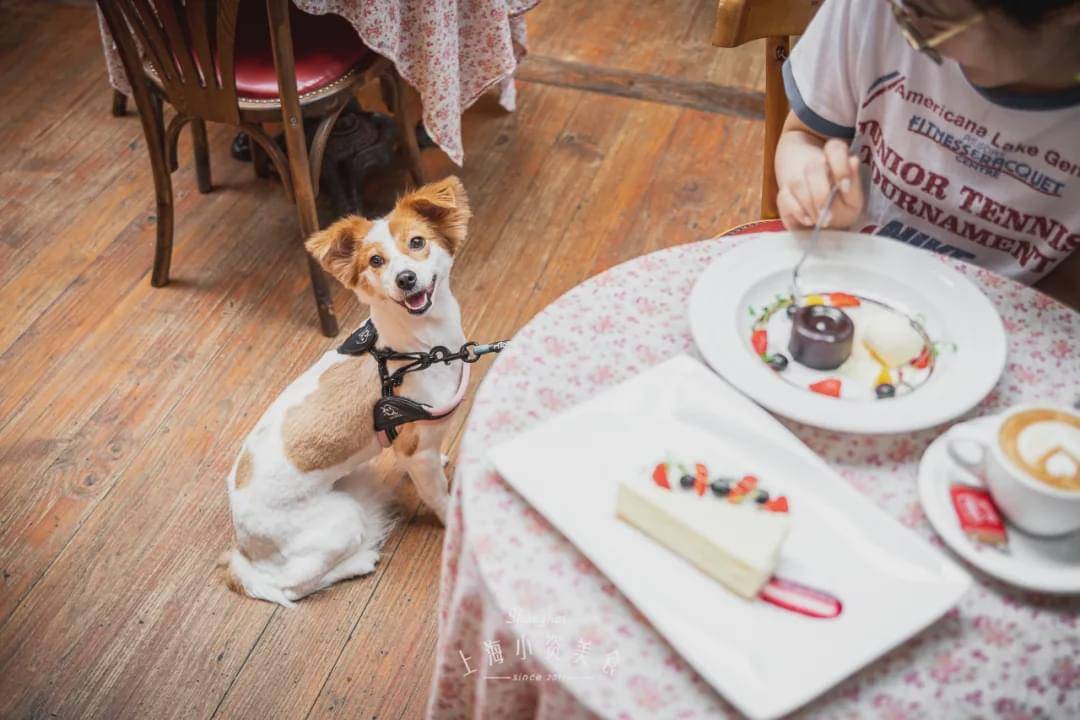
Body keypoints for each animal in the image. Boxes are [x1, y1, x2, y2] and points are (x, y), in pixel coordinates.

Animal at [221, 177, 470, 604]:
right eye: (376, 261)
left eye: (417, 242)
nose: (405, 278)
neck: (419, 349)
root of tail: (244, 550)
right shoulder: (414, 451)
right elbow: (439, 496)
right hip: (342, 519)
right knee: (293, 585)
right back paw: (358, 563)